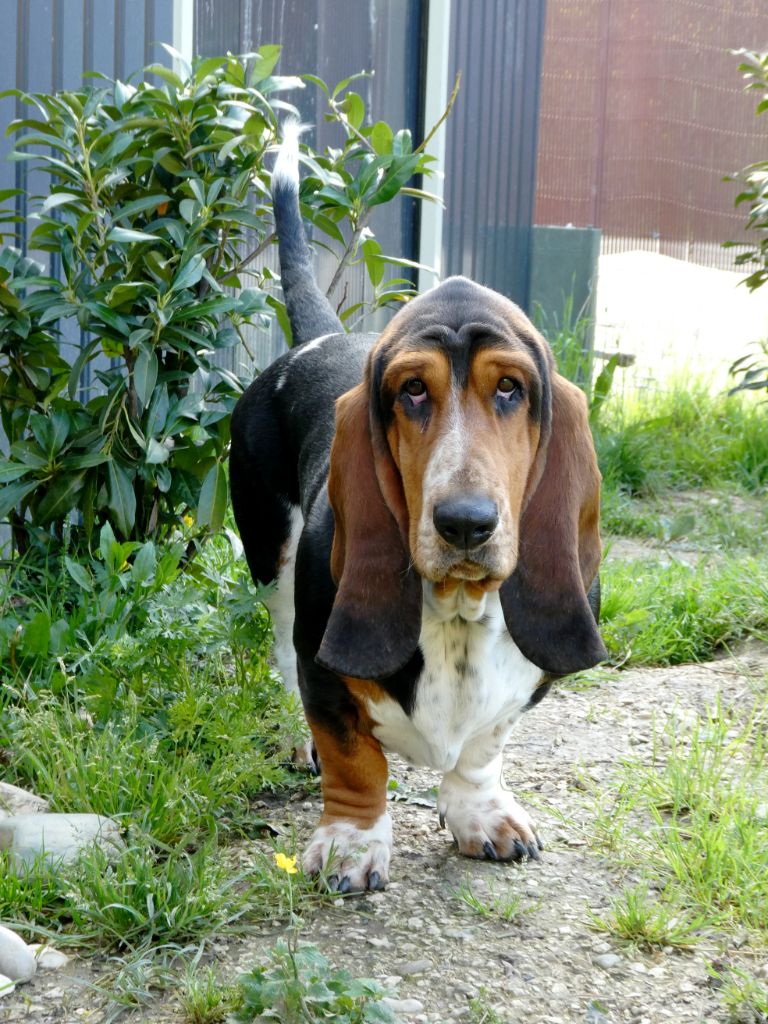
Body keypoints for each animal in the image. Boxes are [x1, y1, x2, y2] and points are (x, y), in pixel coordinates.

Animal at [228, 117, 606, 888]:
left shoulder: (520, 688)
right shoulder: (324, 667)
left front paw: (482, 816)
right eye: (411, 391)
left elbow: (483, 747)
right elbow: (353, 756)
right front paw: (351, 844)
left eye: (510, 388)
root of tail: (321, 334)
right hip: (271, 558)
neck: (457, 612)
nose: (465, 523)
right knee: (280, 648)